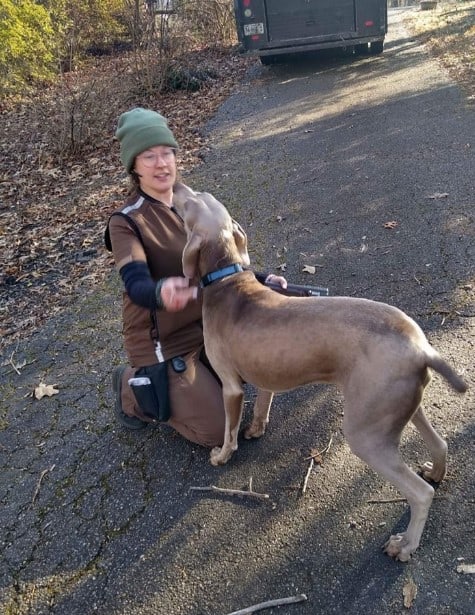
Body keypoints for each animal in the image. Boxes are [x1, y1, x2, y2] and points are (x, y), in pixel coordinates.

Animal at [172, 184, 468, 564]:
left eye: (190, 202)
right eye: (199, 195)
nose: (175, 186)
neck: (227, 279)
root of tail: (422, 349)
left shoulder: (231, 387)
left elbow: (229, 431)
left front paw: (222, 456)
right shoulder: (264, 375)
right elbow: (262, 405)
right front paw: (256, 429)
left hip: (366, 432)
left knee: (420, 494)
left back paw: (405, 545)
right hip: (401, 406)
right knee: (439, 445)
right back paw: (435, 472)